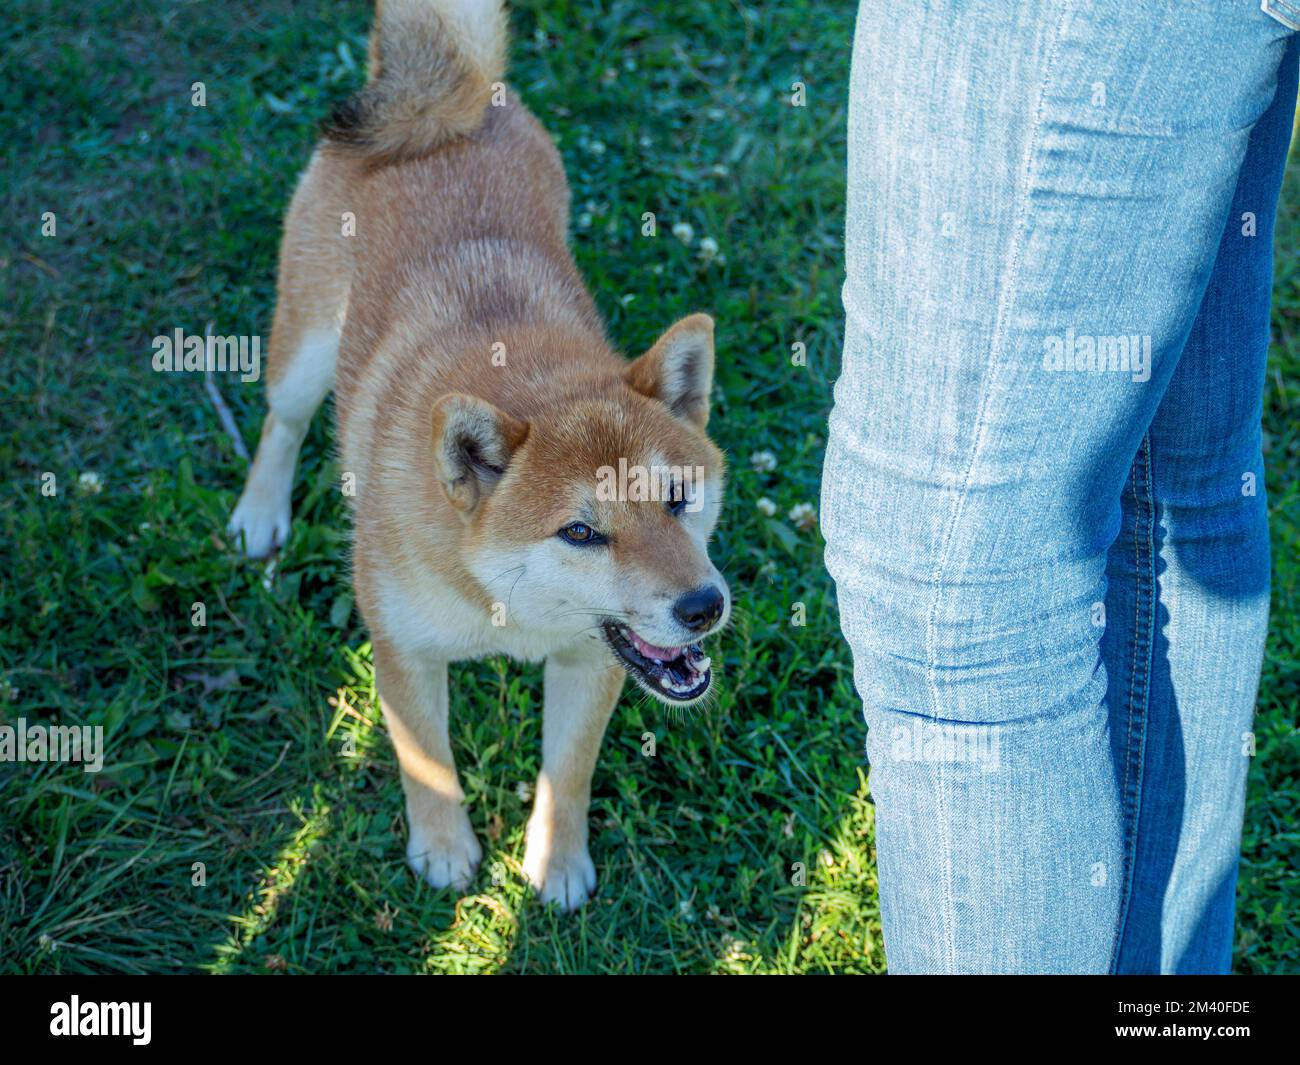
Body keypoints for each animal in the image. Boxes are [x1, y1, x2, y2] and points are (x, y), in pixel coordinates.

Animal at [226, 2, 733, 915]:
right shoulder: (404, 652)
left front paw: (556, 862)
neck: (507, 611)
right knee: (281, 423)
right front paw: (444, 850)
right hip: (306, 351)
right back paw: (260, 513)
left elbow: (567, 771)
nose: (703, 607)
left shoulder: (590, 660)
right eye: (580, 531)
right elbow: (427, 766)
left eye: (679, 497)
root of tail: (435, 111)